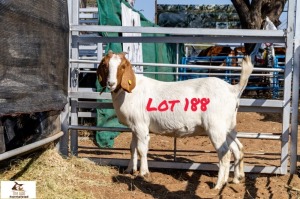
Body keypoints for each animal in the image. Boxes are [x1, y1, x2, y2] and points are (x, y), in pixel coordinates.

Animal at [97, 50, 254, 189]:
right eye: (105, 65)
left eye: (122, 66)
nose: (111, 83)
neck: (130, 91)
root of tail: (233, 89)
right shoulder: (134, 127)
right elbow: (132, 148)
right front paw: (130, 170)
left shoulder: (141, 125)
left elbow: (142, 149)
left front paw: (143, 173)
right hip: (228, 126)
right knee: (238, 148)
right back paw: (237, 179)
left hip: (216, 127)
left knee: (224, 153)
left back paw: (219, 185)